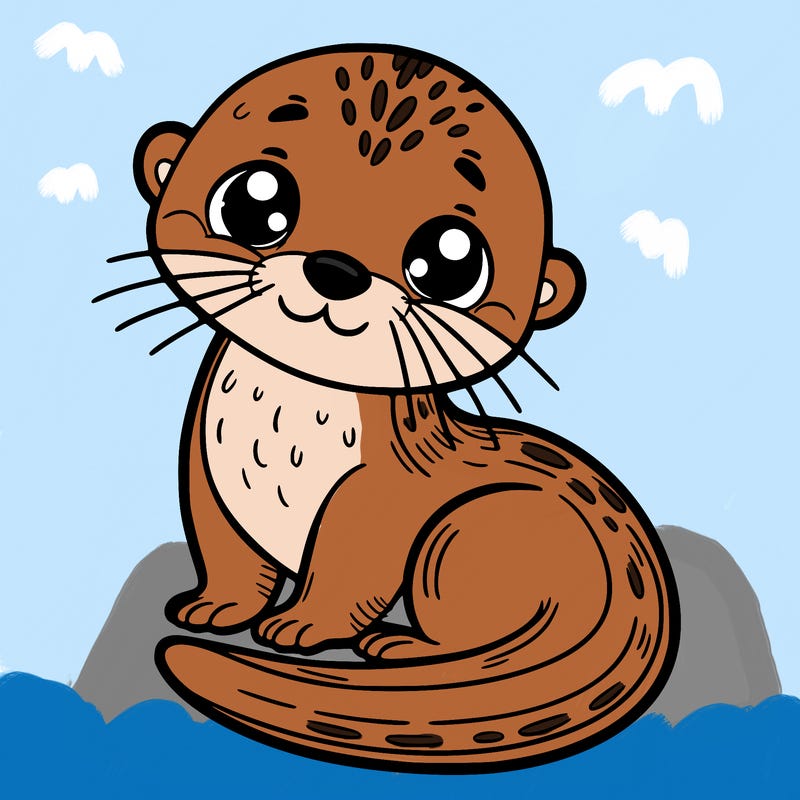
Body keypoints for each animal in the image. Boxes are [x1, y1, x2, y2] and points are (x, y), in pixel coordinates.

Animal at [106, 44, 678, 772]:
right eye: (255, 200)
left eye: (449, 261)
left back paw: (402, 646)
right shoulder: (208, 466)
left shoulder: (381, 492)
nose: (336, 268)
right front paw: (216, 608)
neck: (282, 422)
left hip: (467, 531)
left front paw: (300, 625)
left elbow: (351, 568)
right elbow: (225, 548)